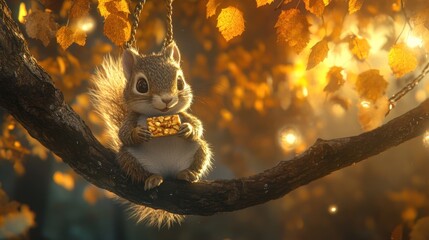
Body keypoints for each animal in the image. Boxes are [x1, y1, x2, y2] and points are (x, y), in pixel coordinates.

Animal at [89, 42, 211, 228]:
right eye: (141, 85)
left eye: (180, 82)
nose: (167, 100)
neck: (157, 115)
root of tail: (167, 172)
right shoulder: (131, 119)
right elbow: (123, 134)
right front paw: (138, 134)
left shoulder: (183, 115)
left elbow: (197, 125)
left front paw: (188, 129)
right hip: (129, 158)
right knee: (141, 172)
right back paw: (153, 178)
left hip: (199, 149)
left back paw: (187, 174)